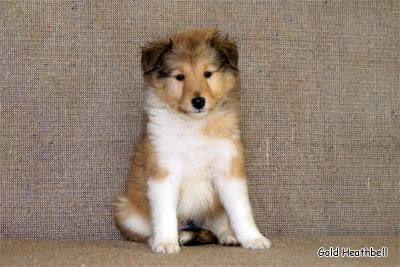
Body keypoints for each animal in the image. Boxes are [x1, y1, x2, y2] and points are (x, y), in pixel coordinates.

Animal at [115, 27, 272, 255]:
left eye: (207, 73)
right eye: (180, 76)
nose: (198, 101)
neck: (194, 126)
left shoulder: (228, 169)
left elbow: (241, 210)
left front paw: (253, 238)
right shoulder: (163, 170)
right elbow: (164, 212)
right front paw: (165, 242)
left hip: (215, 205)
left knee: (218, 224)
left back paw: (228, 235)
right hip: (126, 210)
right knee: (145, 231)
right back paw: (160, 238)